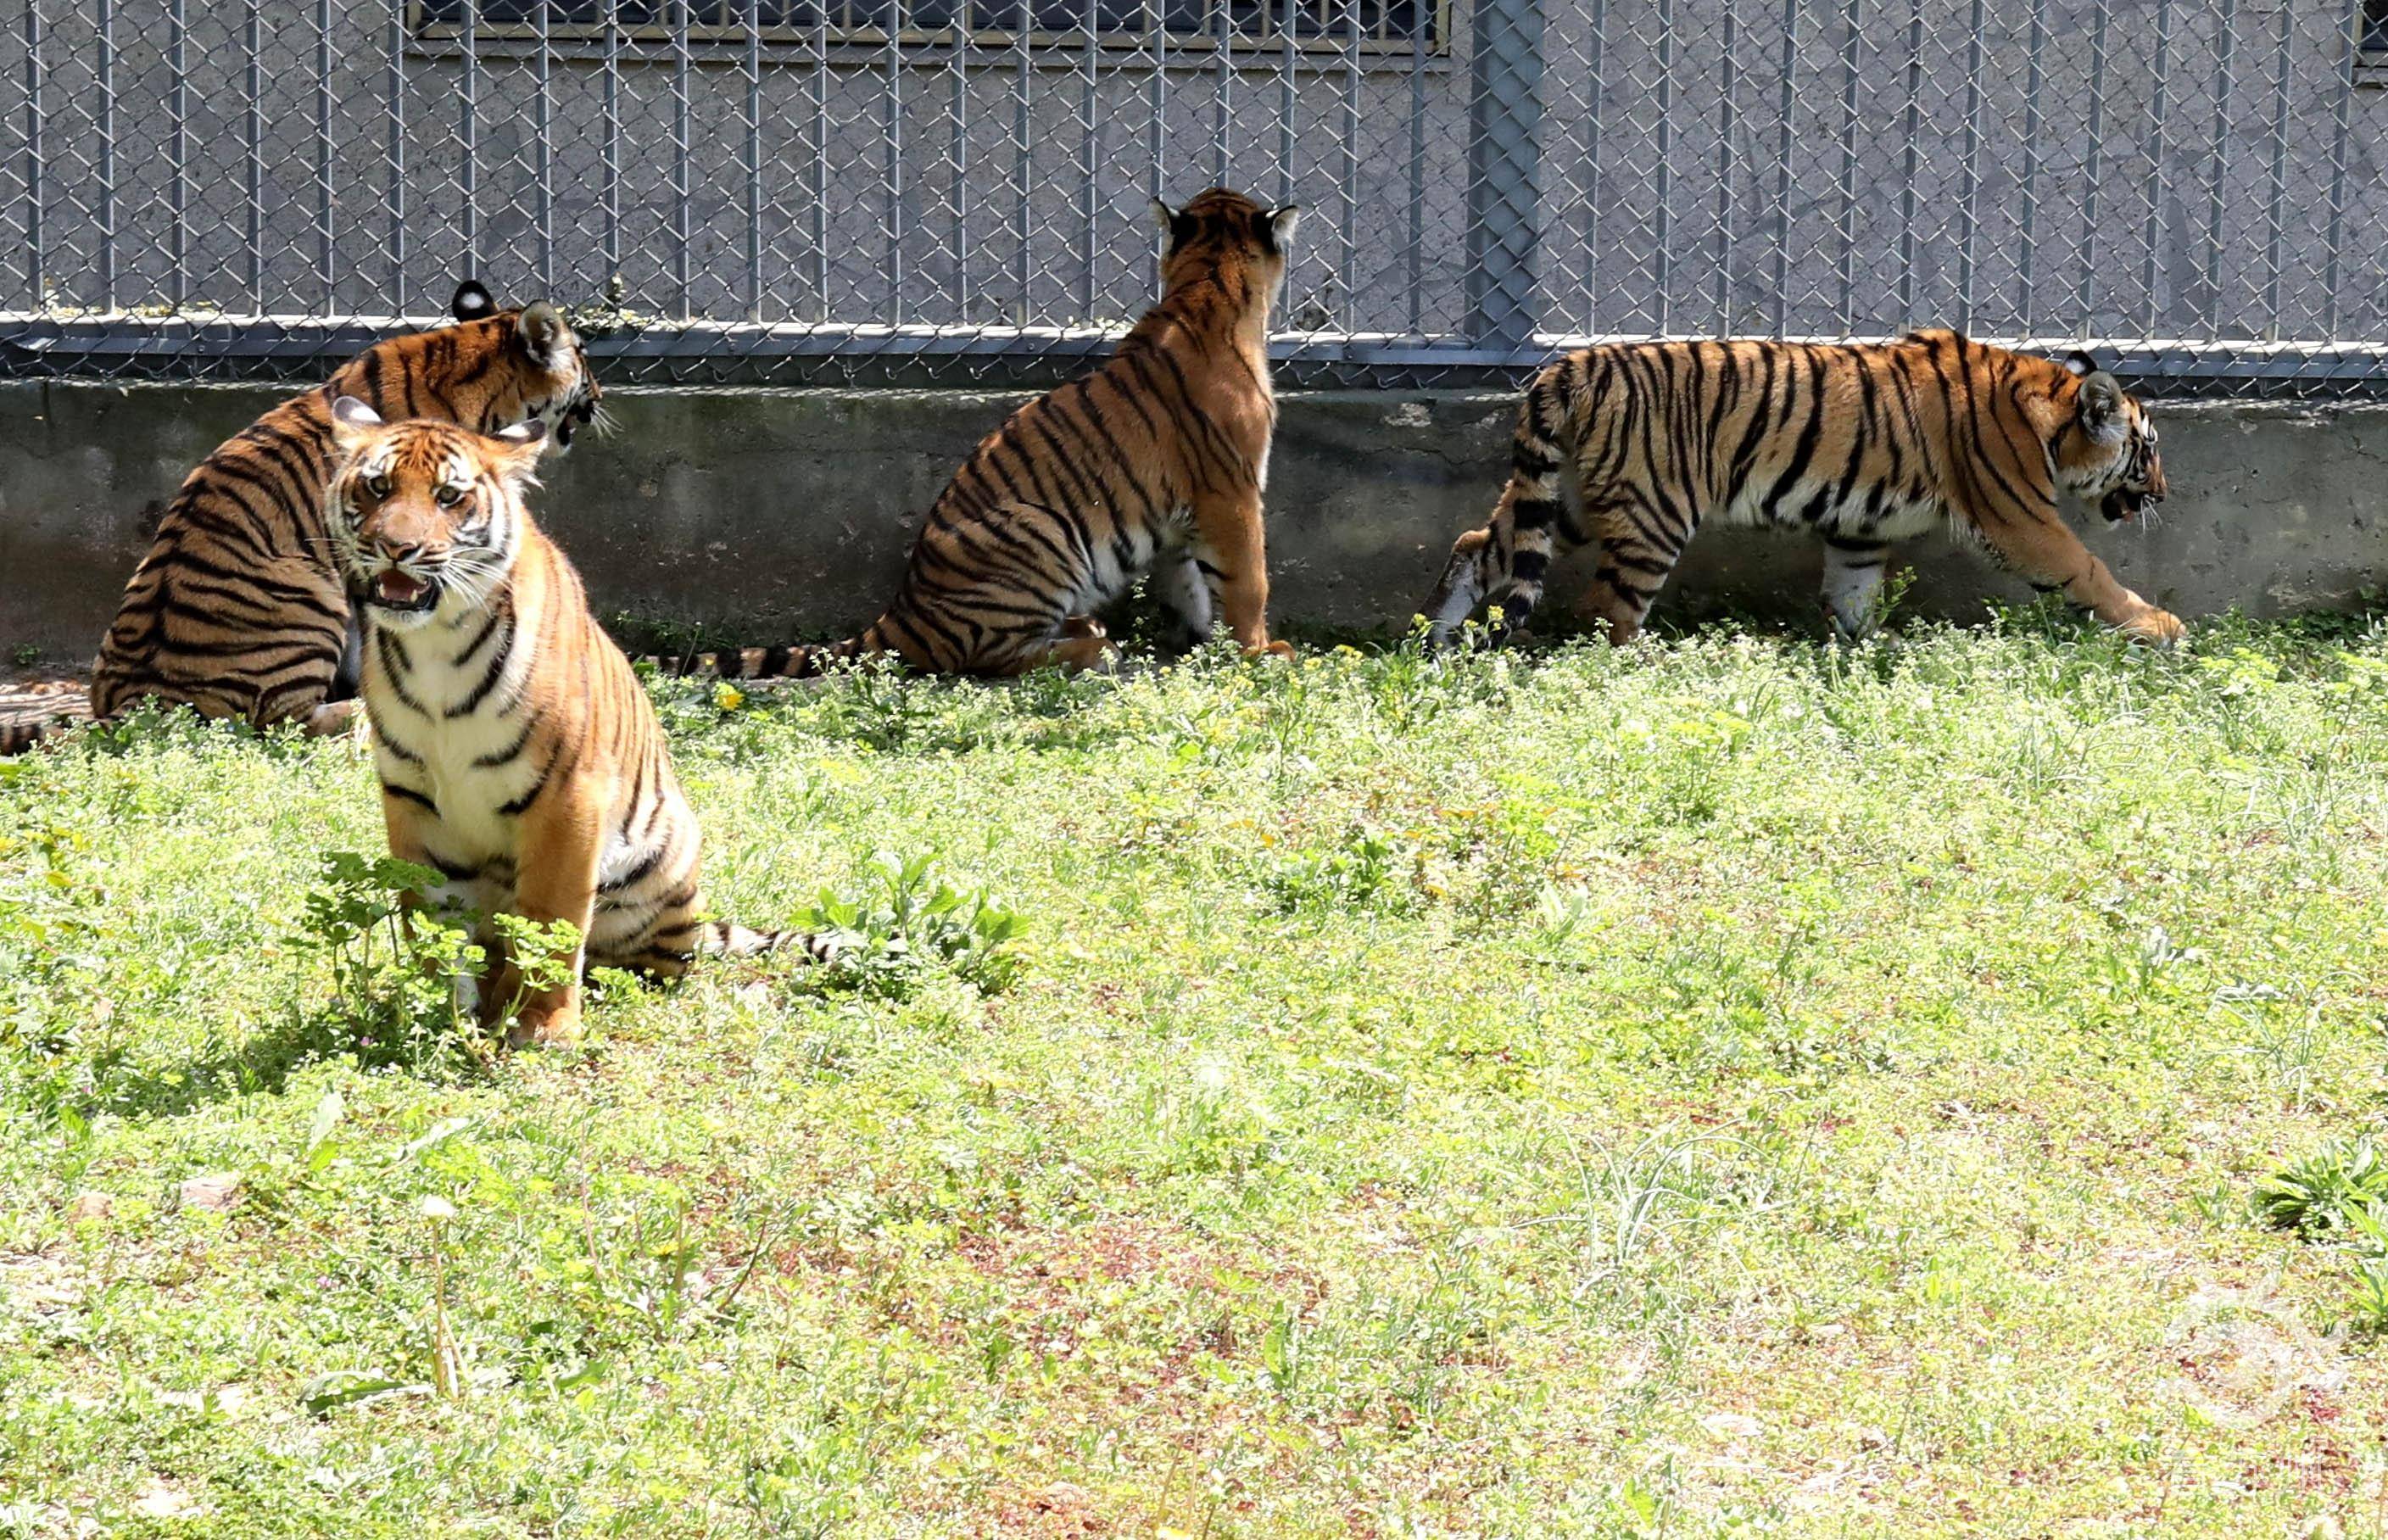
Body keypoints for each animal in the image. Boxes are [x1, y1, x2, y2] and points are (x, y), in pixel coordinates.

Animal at [0, 282, 606, 754]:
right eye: (583, 355)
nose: (601, 396)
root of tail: (127, 702)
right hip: (311, 595)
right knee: (279, 721)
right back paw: (358, 709)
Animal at [326, 396, 830, 1046]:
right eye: (378, 487)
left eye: (448, 496)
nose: (395, 547)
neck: (435, 642)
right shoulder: (412, 796)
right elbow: (429, 919)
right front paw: (434, 1014)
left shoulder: (566, 793)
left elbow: (553, 917)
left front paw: (544, 1025)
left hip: (664, 856)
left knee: (651, 962)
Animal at [673, 186, 1308, 678]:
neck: (1208, 284)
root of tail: (902, 613)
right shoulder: (1231, 492)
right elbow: (1247, 581)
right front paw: (1263, 652)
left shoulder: (1184, 516)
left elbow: (1190, 585)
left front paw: (1202, 644)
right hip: (1038, 529)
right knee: (990, 658)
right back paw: (1096, 647)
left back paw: (1090, 628)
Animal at [1414, 329, 2187, 649]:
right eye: (2147, 450)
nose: (2164, 494)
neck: (2047, 411)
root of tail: (1569, 366)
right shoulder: (2022, 521)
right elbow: (2089, 570)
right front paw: (2159, 627)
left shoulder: (1858, 527)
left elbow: (1853, 593)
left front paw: (1873, 650)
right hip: (1654, 510)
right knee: (1607, 610)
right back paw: (1640, 670)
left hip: (1569, 496)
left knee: (1477, 542)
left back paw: (1435, 642)